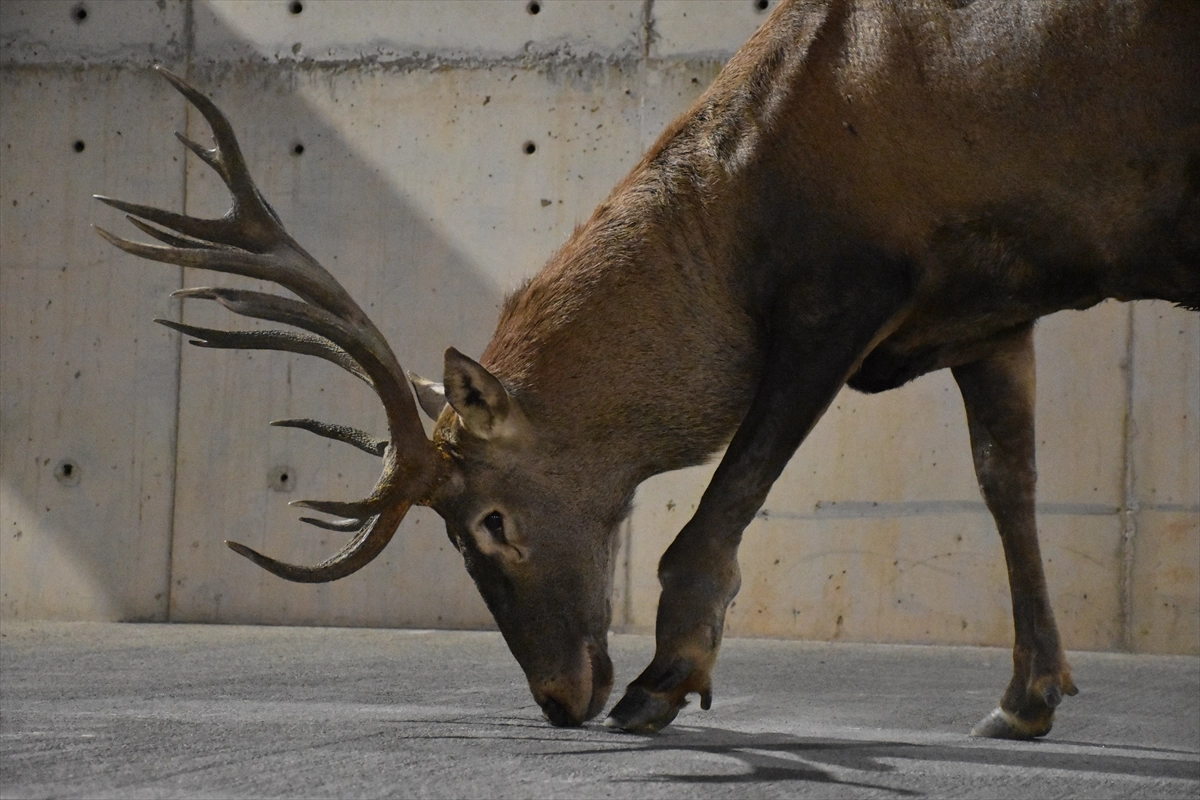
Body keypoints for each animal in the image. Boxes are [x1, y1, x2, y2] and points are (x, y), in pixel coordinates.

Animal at [96, 0, 1200, 738]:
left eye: (489, 522)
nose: (558, 697)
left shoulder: (844, 287)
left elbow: (723, 500)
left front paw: (660, 683)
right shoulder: (989, 309)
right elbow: (1007, 482)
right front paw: (1025, 698)